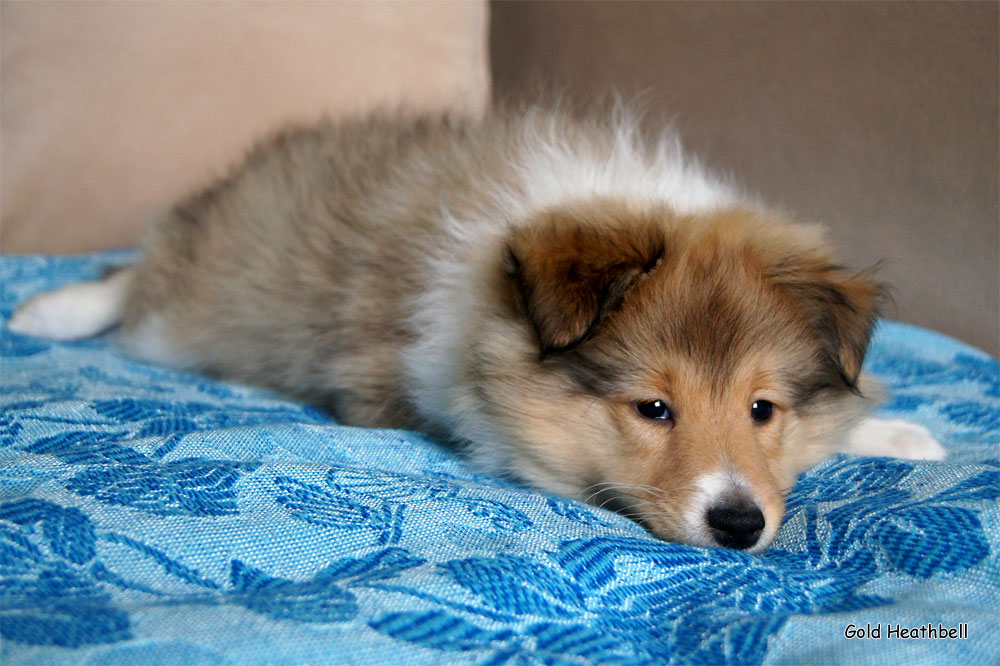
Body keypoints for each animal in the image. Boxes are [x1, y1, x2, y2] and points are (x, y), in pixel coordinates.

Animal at [7, 106, 944, 548]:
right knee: (138, 275)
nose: (740, 526)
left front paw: (901, 433)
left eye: (762, 409)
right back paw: (50, 311)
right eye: (652, 409)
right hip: (198, 303)